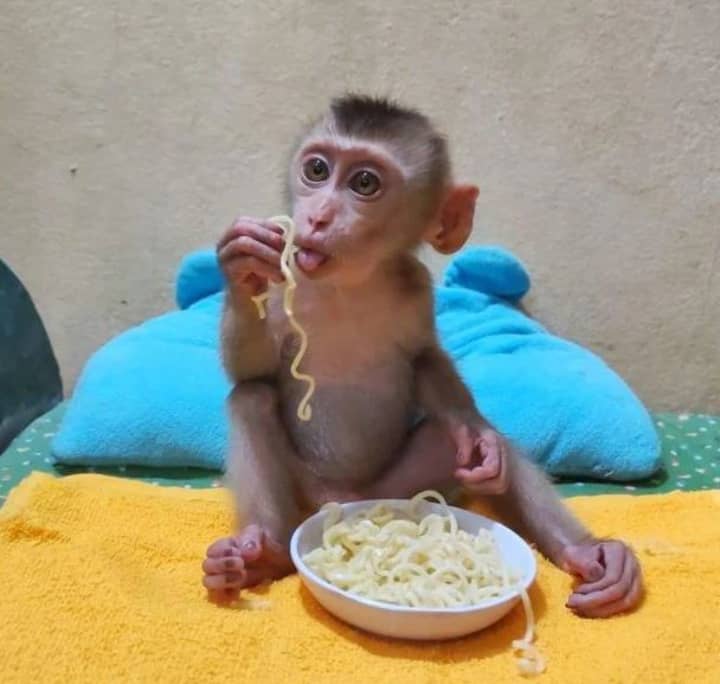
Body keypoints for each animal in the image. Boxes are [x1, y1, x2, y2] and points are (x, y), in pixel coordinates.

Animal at [202, 95, 642, 619]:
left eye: (364, 183)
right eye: (317, 170)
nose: (316, 218)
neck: (349, 285)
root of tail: (341, 500)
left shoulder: (416, 289)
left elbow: (424, 360)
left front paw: (473, 432)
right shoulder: (285, 286)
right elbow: (253, 370)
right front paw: (240, 262)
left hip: (399, 486)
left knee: (475, 443)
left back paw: (589, 554)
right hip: (304, 490)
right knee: (250, 399)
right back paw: (261, 555)